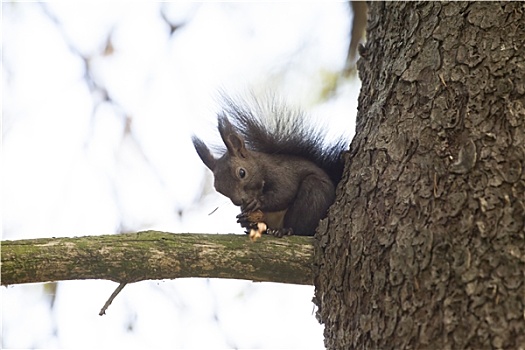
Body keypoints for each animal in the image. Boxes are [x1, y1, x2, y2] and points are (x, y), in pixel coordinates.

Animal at [190, 94, 346, 237]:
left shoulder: (281, 171)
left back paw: (285, 230)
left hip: (314, 194)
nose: (238, 201)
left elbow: (284, 192)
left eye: (242, 173)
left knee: (302, 227)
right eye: (218, 189)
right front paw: (244, 220)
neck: (259, 166)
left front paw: (258, 202)